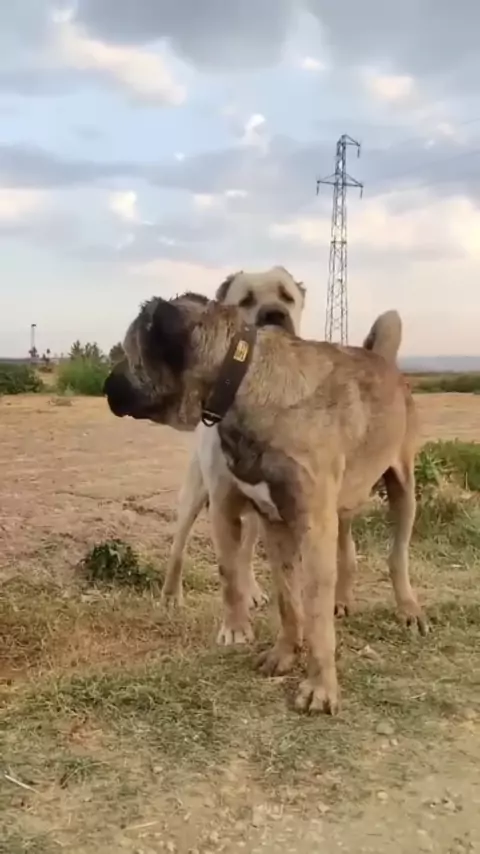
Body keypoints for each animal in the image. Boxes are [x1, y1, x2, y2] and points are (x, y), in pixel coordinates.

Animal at [161, 267, 306, 621]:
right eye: (246, 300)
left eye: (287, 296)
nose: (274, 314)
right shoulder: (221, 496)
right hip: (194, 495)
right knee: (179, 543)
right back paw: (171, 593)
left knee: (247, 551)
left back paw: (251, 589)